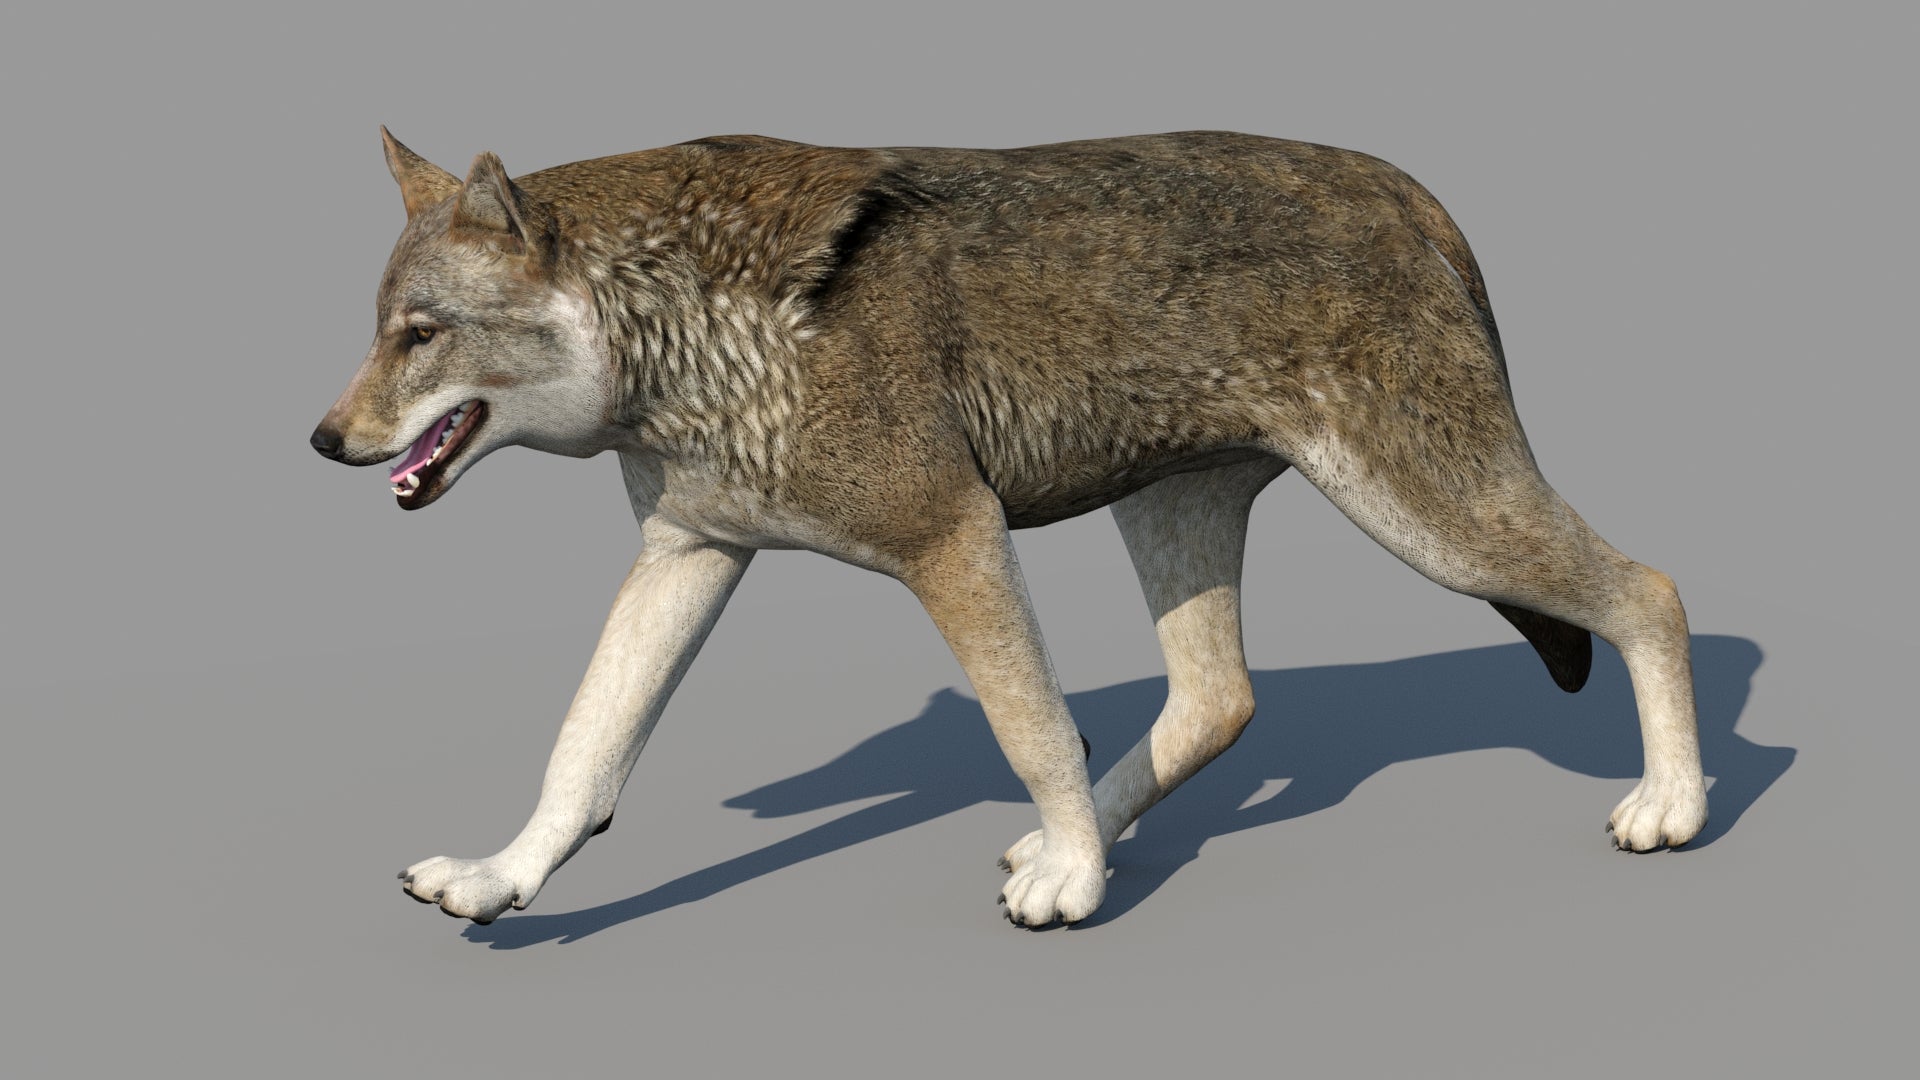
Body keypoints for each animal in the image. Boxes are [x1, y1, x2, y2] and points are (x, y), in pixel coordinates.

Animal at [311, 129, 1706, 927]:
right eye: (380, 332)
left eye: (419, 335)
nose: (323, 442)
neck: (685, 336)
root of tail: (1409, 190)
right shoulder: (689, 555)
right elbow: (583, 755)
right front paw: (499, 881)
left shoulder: (956, 538)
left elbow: (1028, 727)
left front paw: (1078, 889)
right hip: (1178, 516)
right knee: (1221, 702)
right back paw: (1077, 838)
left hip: (1433, 521)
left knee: (1652, 588)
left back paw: (1673, 807)